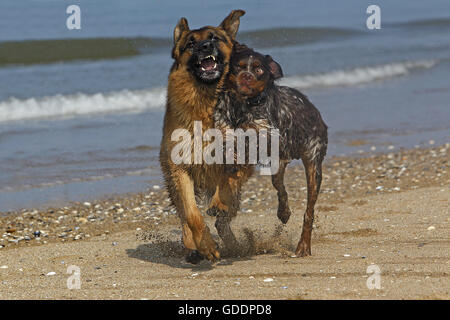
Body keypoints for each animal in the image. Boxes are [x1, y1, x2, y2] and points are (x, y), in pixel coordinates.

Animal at [161, 10, 255, 264]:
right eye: (191, 43)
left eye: (214, 38)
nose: (205, 46)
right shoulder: (180, 168)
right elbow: (192, 215)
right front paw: (205, 245)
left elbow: (228, 180)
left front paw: (219, 202)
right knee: (185, 217)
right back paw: (193, 246)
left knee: (223, 221)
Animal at [214, 44, 326, 258]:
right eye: (238, 67)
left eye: (259, 69)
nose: (246, 76)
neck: (242, 106)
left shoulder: (268, 134)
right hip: (279, 165)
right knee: (279, 187)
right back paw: (283, 211)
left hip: (313, 164)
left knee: (309, 211)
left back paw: (303, 245)